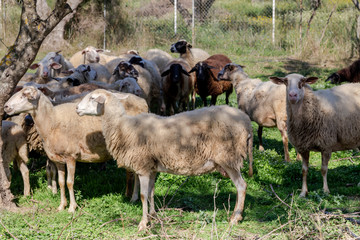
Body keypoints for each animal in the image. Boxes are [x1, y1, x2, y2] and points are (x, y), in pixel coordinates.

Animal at [4, 86, 148, 212]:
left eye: (25, 95)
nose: (5, 106)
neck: (52, 121)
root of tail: (143, 102)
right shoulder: (58, 159)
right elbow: (61, 182)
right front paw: (62, 206)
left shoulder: (71, 157)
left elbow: (69, 182)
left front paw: (72, 208)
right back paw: (134, 197)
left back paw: (133, 198)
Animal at [75, 89, 253, 232]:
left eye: (92, 98)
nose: (76, 108)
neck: (122, 127)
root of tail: (246, 121)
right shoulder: (152, 167)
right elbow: (151, 193)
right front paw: (153, 215)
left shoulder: (143, 167)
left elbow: (143, 195)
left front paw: (143, 223)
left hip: (228, 158)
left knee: (241, 186)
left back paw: (235, 218)